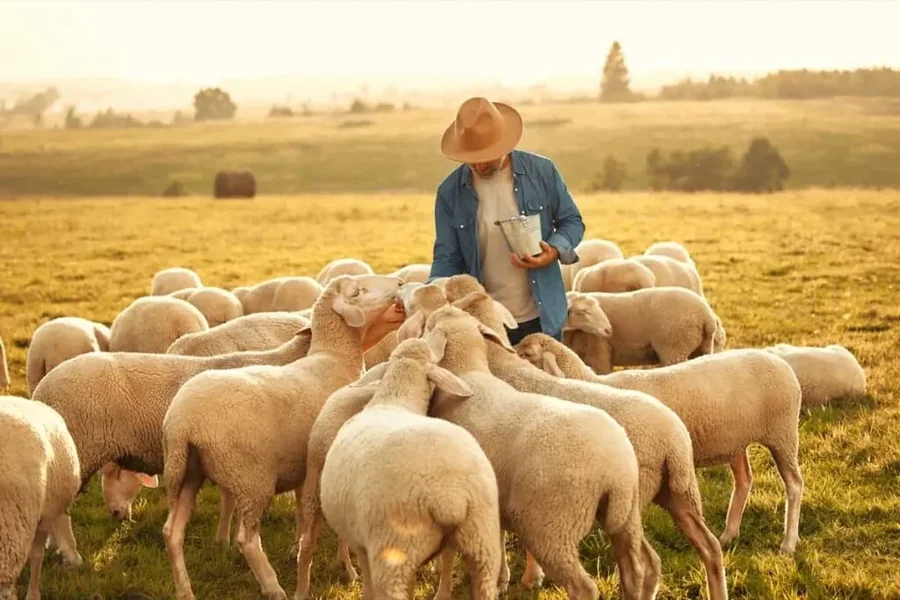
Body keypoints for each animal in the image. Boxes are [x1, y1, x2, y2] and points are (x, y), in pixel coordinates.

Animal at [319, 337, 502, 600]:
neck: (395, 399)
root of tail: (449, 496)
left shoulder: (361, 545)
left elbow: (367, 582)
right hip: (483, 542)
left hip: (395, 549)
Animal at [399, 303, 650, 600]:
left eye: (428, 325)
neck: (467, 371)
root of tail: (615, 467)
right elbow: (496, 538)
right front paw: (500, 580)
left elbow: (450, 555)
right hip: (627, 514)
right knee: (636, 569)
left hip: (552, 526)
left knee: (583, 586)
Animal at [518, 333, 805, 554]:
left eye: (527, 354)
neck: (592, 386)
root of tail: (781, 362)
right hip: (736, 440)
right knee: (744, 479)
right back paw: (729, 534)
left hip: (783, 432)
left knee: (794, 484)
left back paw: (788, 543)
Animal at [564, 289, 719, 374]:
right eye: (583, 311)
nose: (609, 330)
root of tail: (706, 316)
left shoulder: (598, 352)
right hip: (702, 347)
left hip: (675, 348)